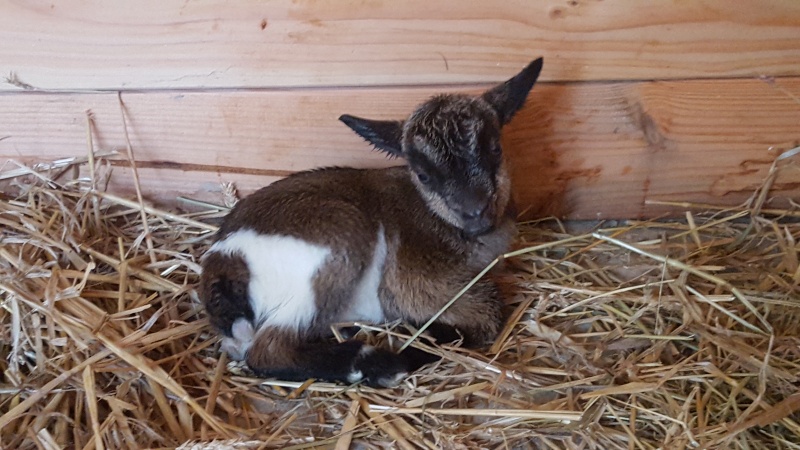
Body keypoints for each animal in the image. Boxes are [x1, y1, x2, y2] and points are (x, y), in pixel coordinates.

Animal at [202, 58, 544, 388]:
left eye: (496, 149)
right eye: (423, 175)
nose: (475, 212)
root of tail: (224, 259)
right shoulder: (416, 285)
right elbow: (487, 313)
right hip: (337, 242)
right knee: (268, 350)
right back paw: (380, 365)